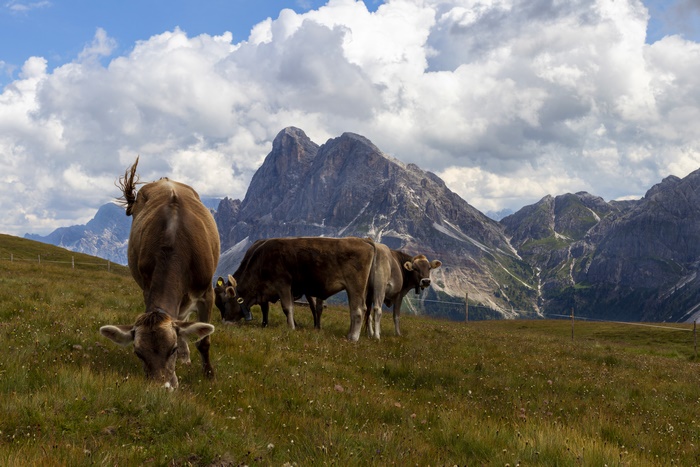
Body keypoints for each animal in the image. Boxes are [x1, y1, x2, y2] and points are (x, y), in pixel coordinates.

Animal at [99, 157, 219, 390]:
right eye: (138, 353)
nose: (161, 387)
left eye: (171, 349)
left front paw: (209, 374)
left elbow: (204, 340)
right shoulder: (147, 287)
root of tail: (165, 180)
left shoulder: (207, 292)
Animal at [220, 236, 376, 341]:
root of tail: (363, 240)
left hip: (355, 286)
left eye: (226, 303)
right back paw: (350, 333)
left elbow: (287, 307)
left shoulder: (283, 283)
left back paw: (353, 337)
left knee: (358, 310)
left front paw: (291, 328)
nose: (224, 322)